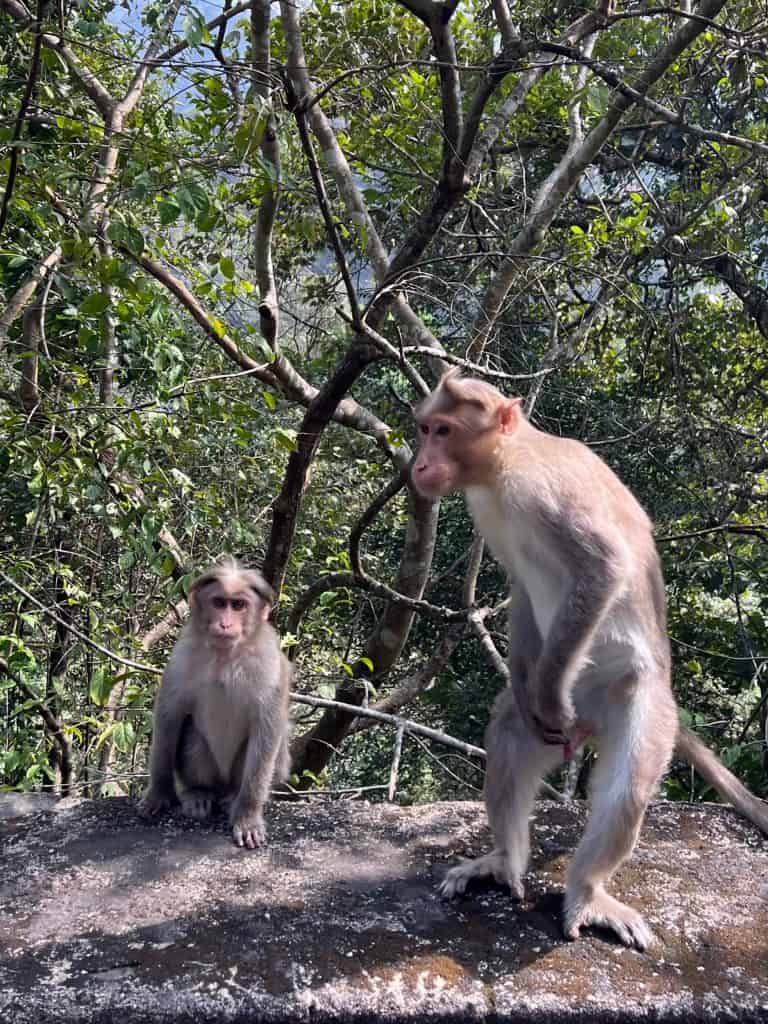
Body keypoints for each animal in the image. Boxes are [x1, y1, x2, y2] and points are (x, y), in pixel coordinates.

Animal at [138, 559, 292, 849]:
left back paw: (233, 796)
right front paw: (159, 793)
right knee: (192, 734)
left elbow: (267, 727)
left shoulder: (268, 663)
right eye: (219, 603)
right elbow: (169, 715)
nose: (225, 624)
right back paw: (200, 792)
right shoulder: (182, 656)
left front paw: (248, 817)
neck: (225, 656)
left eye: (239, 605)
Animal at [411, 370, 768, 950]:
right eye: (424, 429)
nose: (419, 463)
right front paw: (528, 688)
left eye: (444, 430)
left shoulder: (540, 490)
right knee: (509, 732)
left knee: (627, 787)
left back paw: (587, 890)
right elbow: (522, 591)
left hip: (640, 700)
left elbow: (603, 569)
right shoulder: (488, 510)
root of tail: (594, 721)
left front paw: (547, 693)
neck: (503, 465)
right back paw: (505, 859)